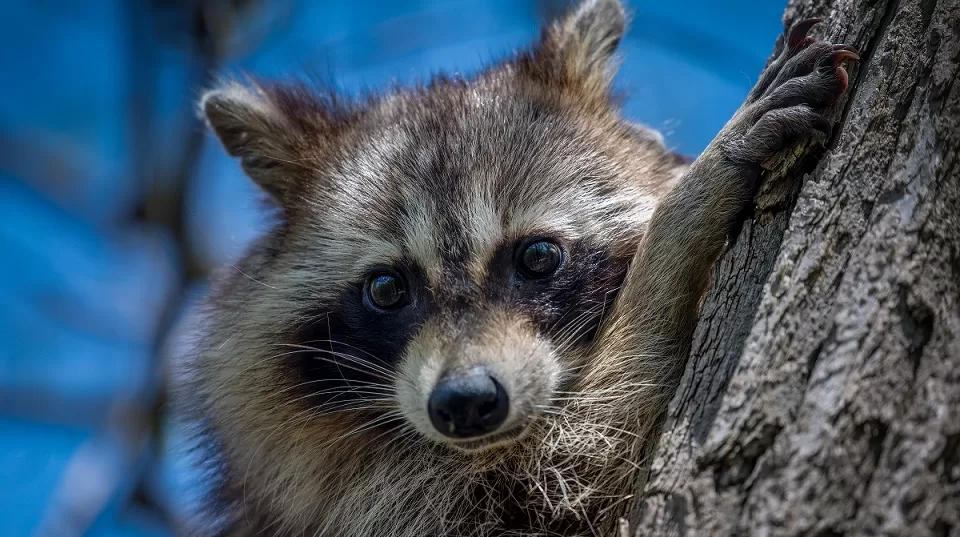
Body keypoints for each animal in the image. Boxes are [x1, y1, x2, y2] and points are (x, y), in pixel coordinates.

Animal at [177, 1, 857, 535]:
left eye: (537, 257)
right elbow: (581, 462)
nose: (465, 402)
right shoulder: (385, 503)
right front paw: (682, 222)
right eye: (386, 288)